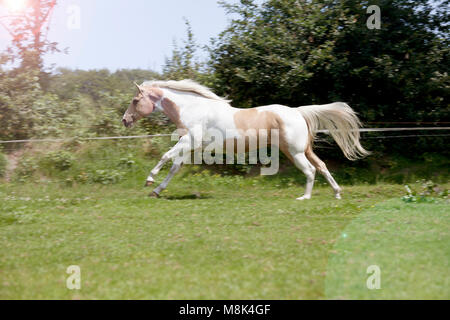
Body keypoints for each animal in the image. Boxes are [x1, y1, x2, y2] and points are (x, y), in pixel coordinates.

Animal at [121, 79, 368, 200]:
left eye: (135, 100)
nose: (125, 120)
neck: (193, 109)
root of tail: (298, 112)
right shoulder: (192, 148)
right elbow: (174, 167)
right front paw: (156, 191)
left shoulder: (189, 142)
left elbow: (165, 157)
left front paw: (149, 181)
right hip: (303, 150)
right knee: (323, 166)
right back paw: (337, 193)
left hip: (294, 152)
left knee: (310, 170)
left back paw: (304, 198)